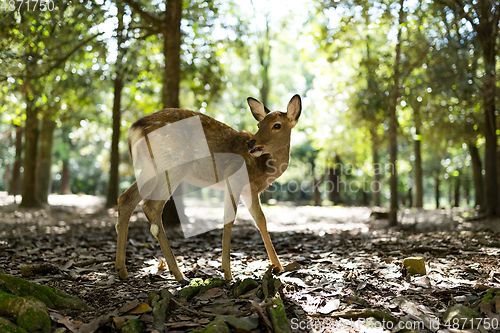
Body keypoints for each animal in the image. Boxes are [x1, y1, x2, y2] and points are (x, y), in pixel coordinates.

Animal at [114, 93, 300, 282]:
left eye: (276, 125)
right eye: (259, 125)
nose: (251, 143)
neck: (262, 167)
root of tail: (135, 129)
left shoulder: (250, 191)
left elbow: (261, 220)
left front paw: (278, 266)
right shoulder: (235, 178)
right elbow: (229, 219)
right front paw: (227, 272)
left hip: (149, 169)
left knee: (126, 199)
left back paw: (122, 270)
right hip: (173, 164)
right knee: (151, 206)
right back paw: (179, 275)